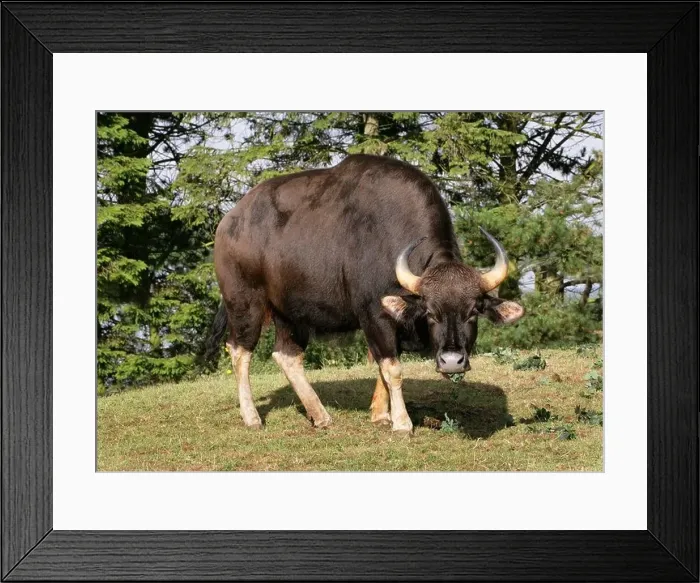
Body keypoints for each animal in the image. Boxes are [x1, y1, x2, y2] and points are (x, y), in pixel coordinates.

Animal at [205, 154, 524, 435]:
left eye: (472, 313)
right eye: (431, 313)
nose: (451, 361)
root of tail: (229, 222)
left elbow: (384, 365)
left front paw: (381, 415)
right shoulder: (374, 314)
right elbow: (392, 367)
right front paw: (401, 423)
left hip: (290, 313)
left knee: (287, 355)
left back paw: (320, 415)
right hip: (244, 302)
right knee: (240, 350)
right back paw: (252, 417)